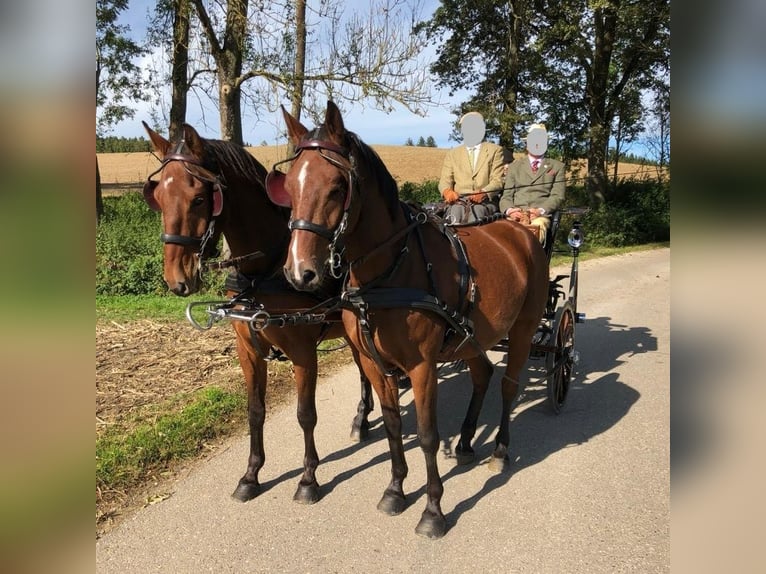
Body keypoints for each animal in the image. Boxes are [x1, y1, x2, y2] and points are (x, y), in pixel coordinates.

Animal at [141, 121, 375, 505]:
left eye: (200, 198)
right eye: (157, 197)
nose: (177, 280)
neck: (265, 271)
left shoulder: (303, 351)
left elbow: (305, 414)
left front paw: (308, 479)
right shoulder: (247, 350)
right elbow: (255, 412)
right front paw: (251, 474)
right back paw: (362, 418)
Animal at [267, 101, 549, 538]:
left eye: (337, 187)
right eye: (290, 190)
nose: (301, 272)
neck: (389, 272)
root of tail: (520, 231)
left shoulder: (422, 366)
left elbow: (429, 435)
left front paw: (433, 510)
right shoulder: (374, 363)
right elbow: (393, 426)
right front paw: (396, 489)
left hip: (522, 330)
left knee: (508, 385)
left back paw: (501, 450)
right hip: (472, 336)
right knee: (483, 374)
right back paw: (466, 442)